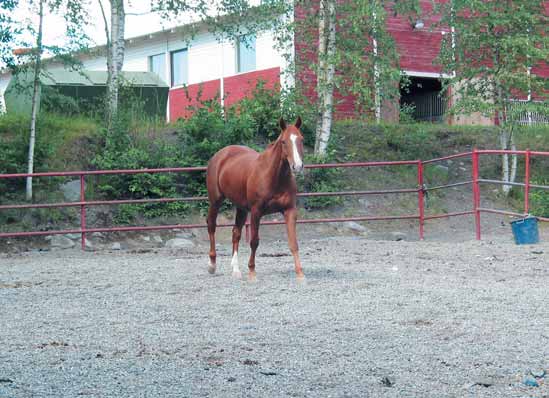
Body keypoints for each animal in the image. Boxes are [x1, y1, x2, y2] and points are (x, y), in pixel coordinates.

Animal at [206, 116, 306, 282]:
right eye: (283, 142)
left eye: (301, 139)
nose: (297, 166)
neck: (274, 176)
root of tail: (221, 154)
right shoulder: (256, 211)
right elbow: (254, 242)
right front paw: (252, 272)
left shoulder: (290, 211)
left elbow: (294, 243)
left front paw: (300, 274)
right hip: (216, 201)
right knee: (212, 226)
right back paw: (212, 265)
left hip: (241, 208)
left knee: (236, 233)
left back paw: (236, 270)